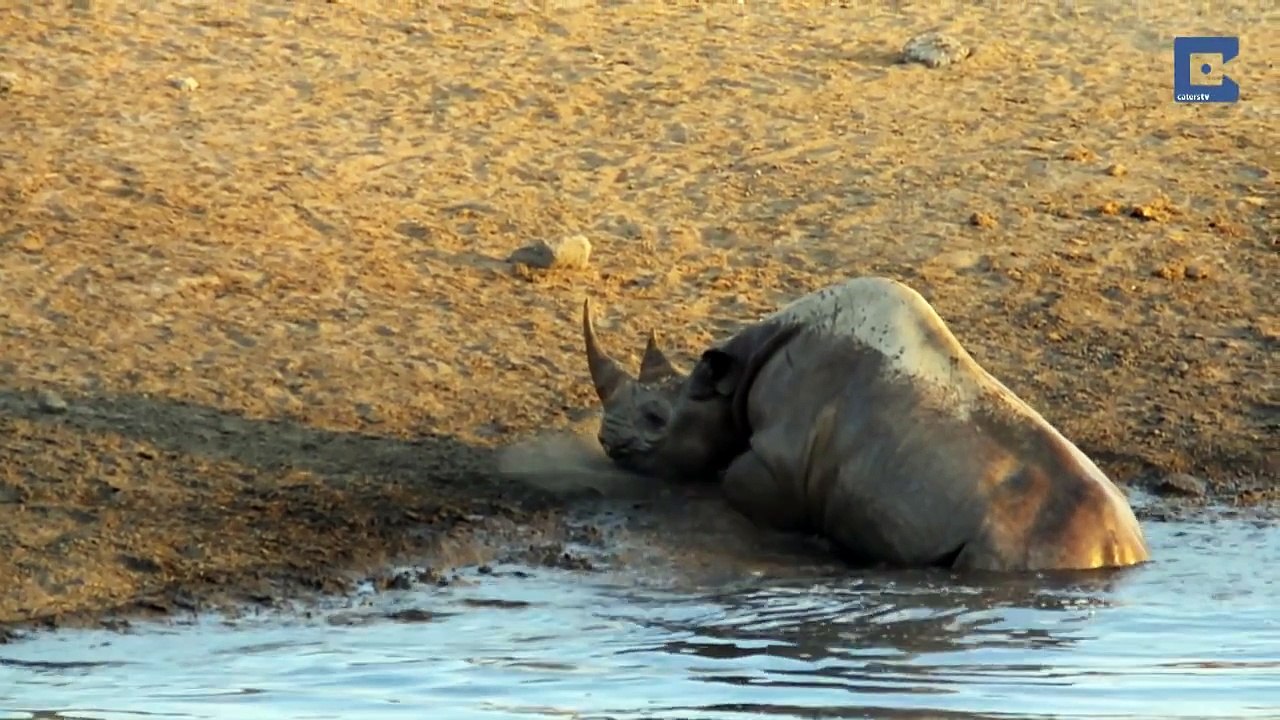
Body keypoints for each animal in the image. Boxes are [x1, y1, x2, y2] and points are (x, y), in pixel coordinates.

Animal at [580, 276, 1151, 572]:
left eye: (656, 418)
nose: (605, 439)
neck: (731, 381)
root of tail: (1124, 552)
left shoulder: (777, 468)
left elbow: (734, 480)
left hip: (1028, 548)